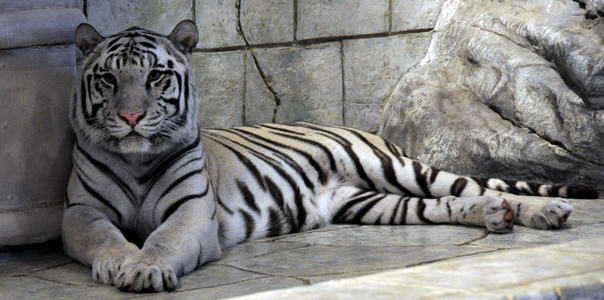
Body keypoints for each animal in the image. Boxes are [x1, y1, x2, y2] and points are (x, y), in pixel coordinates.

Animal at [63, 19, 596, 292]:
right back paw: (493, 214)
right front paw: (122, 263)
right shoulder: (82, 212)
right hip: (370, 203)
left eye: (156, 76)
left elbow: (164, 239)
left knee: (470, 185)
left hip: (398, 169)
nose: (132, 117)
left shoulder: (192, 211)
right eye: (108, 78)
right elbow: (106, 238)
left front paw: (145, 268)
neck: (136, 159)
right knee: (450, 203)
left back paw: (543, 211)